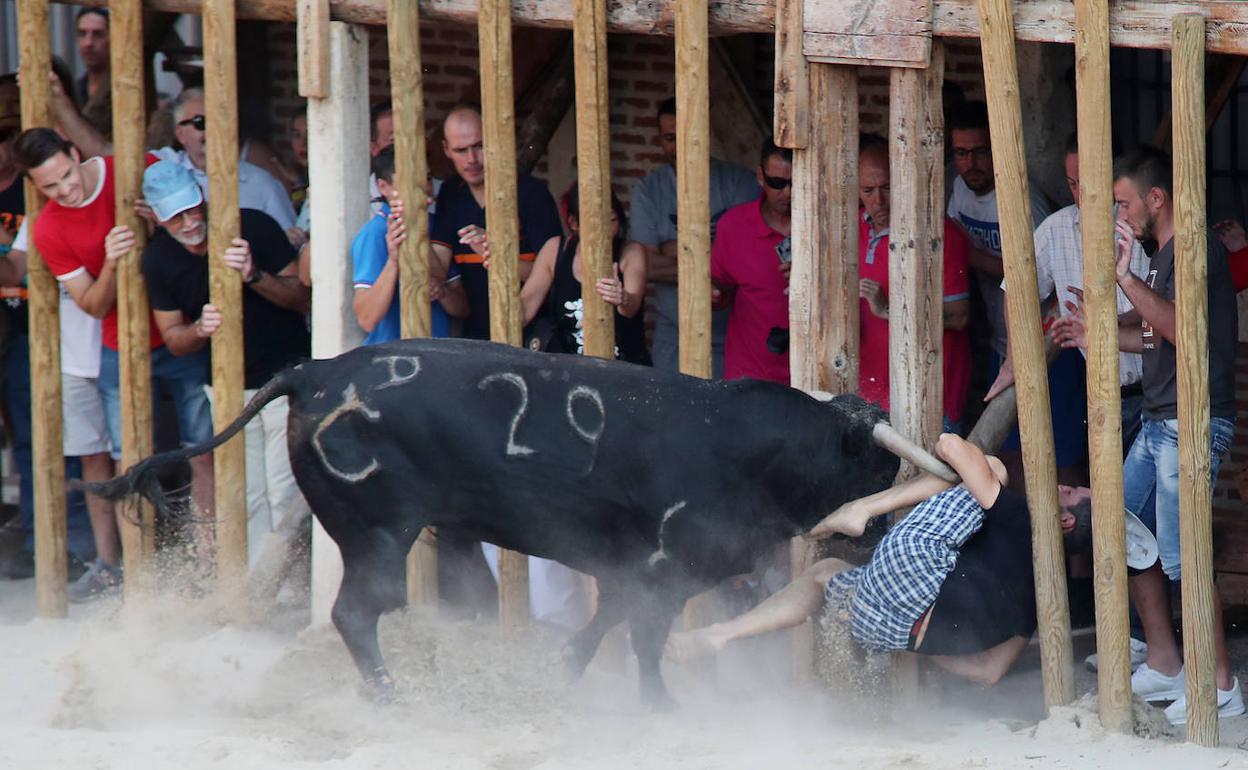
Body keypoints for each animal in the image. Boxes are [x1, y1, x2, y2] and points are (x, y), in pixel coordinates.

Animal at [92, 339, 903, 703]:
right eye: (868, 456)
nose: (895, 454)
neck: (743, 447)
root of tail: (315, 371)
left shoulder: (632, 572)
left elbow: (605, 622)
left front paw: (568, 670)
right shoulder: (665, 572)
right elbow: (642, 637)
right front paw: (659, 704)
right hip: (378, 534)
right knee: (359, 610)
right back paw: (388, 694)